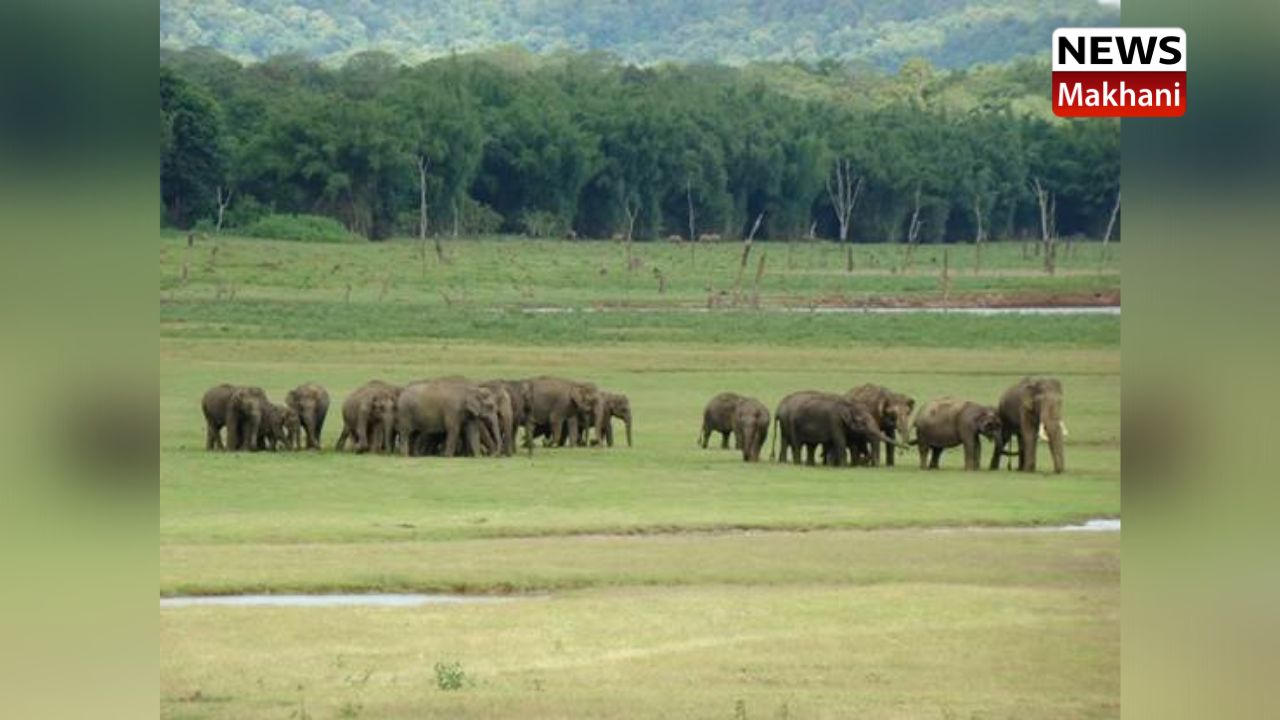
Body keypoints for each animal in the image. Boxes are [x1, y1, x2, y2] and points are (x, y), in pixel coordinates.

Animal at [772, 391, 902, 467]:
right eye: (863, 423)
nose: (872, 462)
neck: (849, 405)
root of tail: (778, 408)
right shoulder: (835, 421)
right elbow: (840, 442)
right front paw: (843, 466)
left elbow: (845, 444)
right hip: (791, 424)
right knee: (797, 445)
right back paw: (797, 463)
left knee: (810, 446)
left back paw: (809, 464)